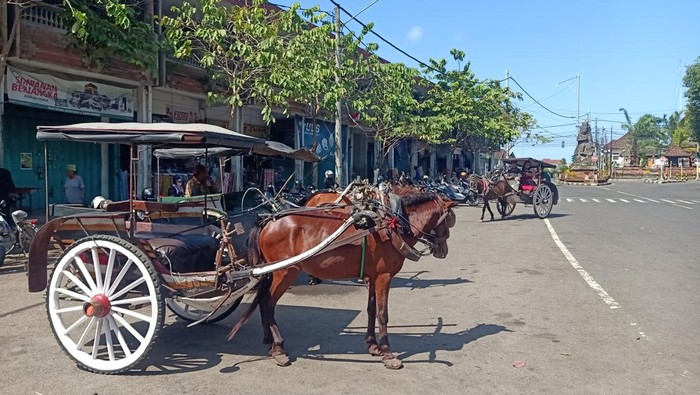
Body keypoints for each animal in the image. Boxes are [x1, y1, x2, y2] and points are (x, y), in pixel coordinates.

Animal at [232, 187, 456, 370]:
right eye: (449, 221)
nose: (444, 251)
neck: (391, 225)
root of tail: (267, 221)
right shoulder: (384, 277)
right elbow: (382, 314)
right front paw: (387, 353)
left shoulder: (372, 276)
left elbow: (371, 309)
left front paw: (372, 345)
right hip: (286, 272)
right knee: (268, 303)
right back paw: (278, 347)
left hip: (274, 272)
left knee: (263, 302)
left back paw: (269, 340)